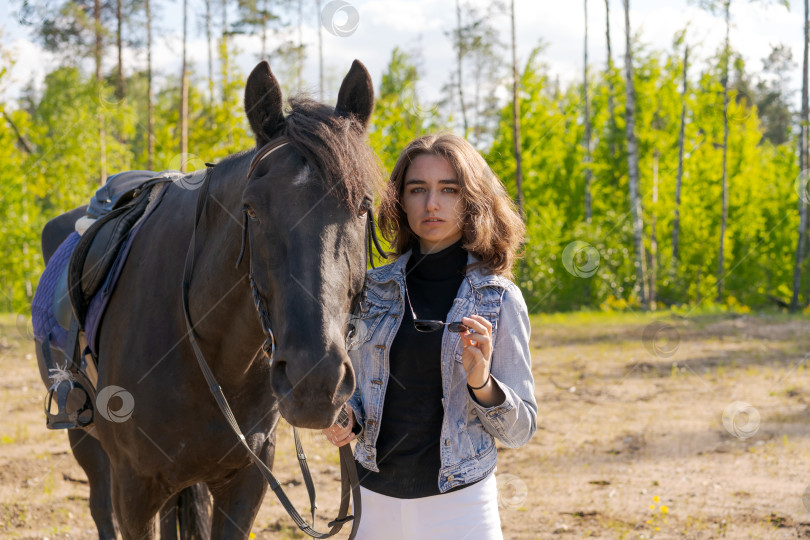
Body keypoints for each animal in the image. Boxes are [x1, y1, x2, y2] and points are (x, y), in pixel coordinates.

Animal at [34, 60, 382, 540]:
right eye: (251, 209)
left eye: (363, 206)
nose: (315, 382)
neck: (211, 355)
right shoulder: (134, 489)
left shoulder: (246, 483)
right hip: (84, 439)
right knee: (99, 508)